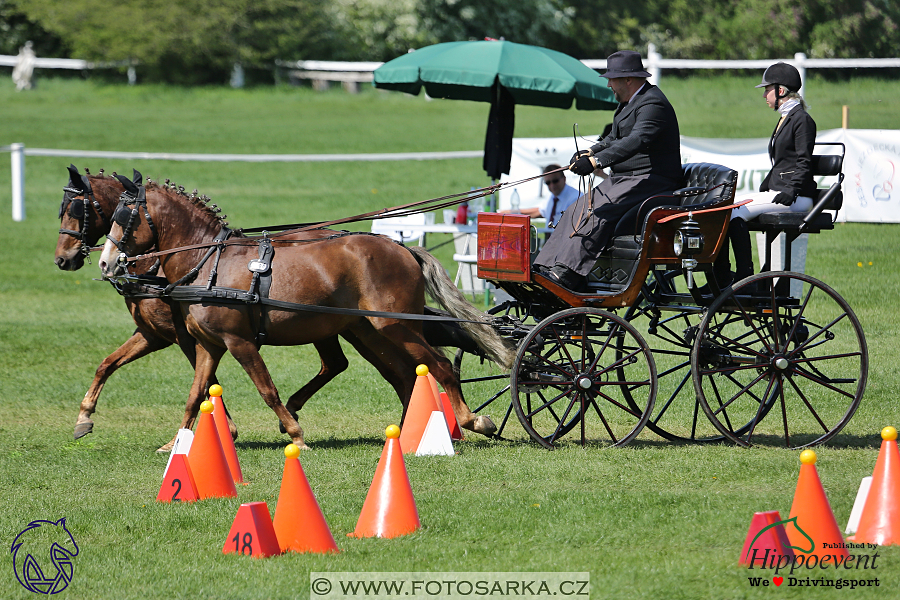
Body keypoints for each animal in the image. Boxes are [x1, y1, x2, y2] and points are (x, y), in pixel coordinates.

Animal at [95, 173, 510, 446]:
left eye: (124, 218)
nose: (106, 262)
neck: (208, 263)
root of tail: (402, 247)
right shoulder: (209, 346)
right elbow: (196, 393)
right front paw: (176, 442)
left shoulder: (239, 341)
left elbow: (267, 389)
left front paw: (295, 433)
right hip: (370, 330)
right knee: (406, 376)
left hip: (395, 326)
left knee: (439, 366)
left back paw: (472, 421)